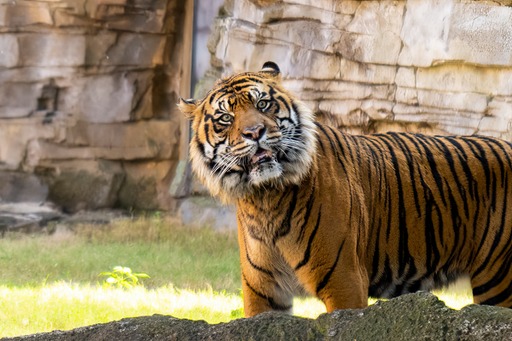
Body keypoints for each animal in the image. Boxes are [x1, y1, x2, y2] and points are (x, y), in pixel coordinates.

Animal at [179, 60, 512, 316]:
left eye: (263, 103)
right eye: (225, 118)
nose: (255, 132)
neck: (265, 197)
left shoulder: (344, 281)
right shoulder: (262, 291)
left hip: (498, 279)